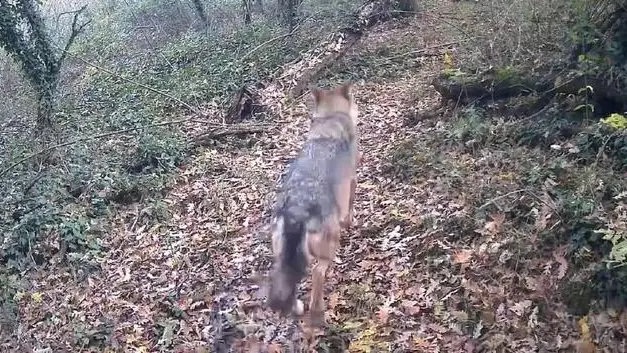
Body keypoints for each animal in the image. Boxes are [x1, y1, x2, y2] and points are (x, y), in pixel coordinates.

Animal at [266, 82, 364, 324]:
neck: (331, 118)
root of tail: (296, 210)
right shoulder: (352, 180)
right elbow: (350, 206)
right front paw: (351, 222)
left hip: (281, 255)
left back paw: (298, 308)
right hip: (328, 245)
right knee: (318, 274)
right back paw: (318, 311)